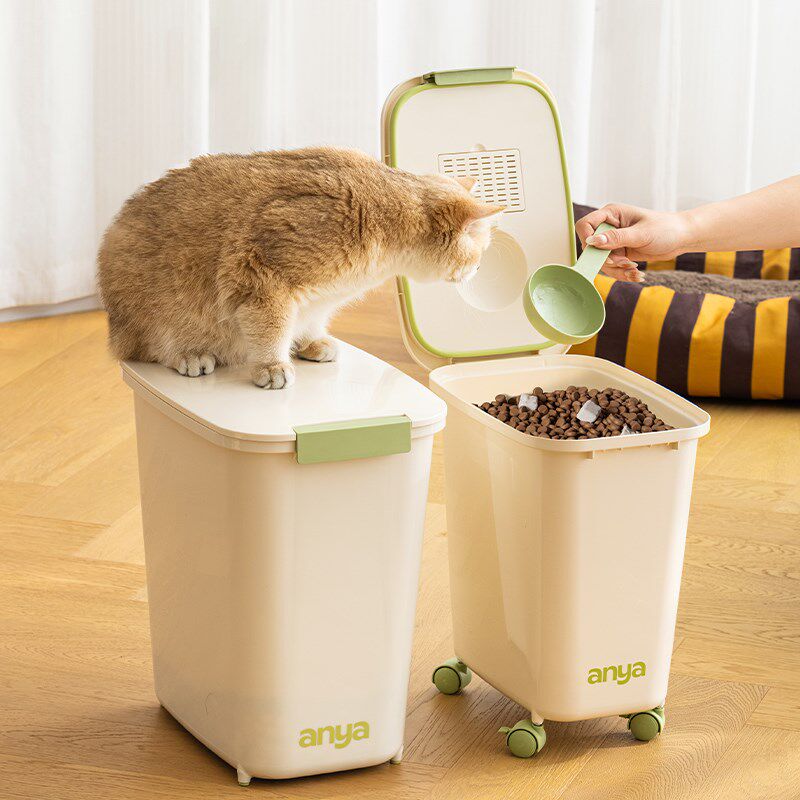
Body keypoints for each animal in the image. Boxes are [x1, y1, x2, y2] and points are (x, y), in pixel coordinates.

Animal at [97, 147, 502, 388]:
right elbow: (272, 331)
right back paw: (190, 354)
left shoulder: (317, 300)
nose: (479, 270)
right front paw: (272, 365)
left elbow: (308, 322)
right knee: (148, 348)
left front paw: (310, 343)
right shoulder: (262, 279)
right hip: (158, 312)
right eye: (480, 253)